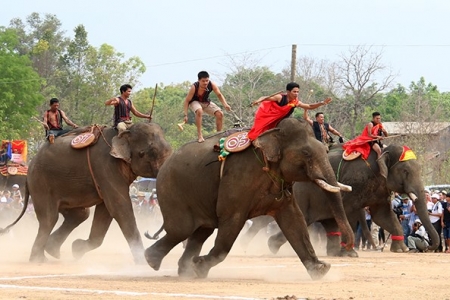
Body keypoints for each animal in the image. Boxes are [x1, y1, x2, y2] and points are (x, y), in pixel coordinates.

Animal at [0, 122, 172, 262]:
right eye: (144, 153)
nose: (150, 233)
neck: (124, 132)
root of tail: (30, 165)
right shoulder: (105, 167)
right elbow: (120, 208)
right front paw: (143, 262)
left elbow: (107, 210)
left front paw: (76, 250)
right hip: (41, 183)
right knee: (49, 218)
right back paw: (39, 260)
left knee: (80, 214)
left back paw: (52, 251)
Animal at [144, 118, 356, 282]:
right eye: (306, 153)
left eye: (324, 150)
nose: (348, 247)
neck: (271, 133)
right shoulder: (238, 178)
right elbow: (232, 220)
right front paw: (199, 265)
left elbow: (294, 220)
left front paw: (321, 269)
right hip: (172, 191)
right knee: (181, 230)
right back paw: (152, 261)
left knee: (201, 231)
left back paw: (184, 270)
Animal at [264, 144, 440, 255]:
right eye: (405, 171)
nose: (429, 247)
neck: (382, 150)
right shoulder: (354, 180)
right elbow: (349, 210)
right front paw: (350, 254)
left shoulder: (381, 190)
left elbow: (381, 216)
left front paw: (400, 250)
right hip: (301, 194)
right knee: (302, 219)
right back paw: (271, 246)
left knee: (329, 223)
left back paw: (333, 253)